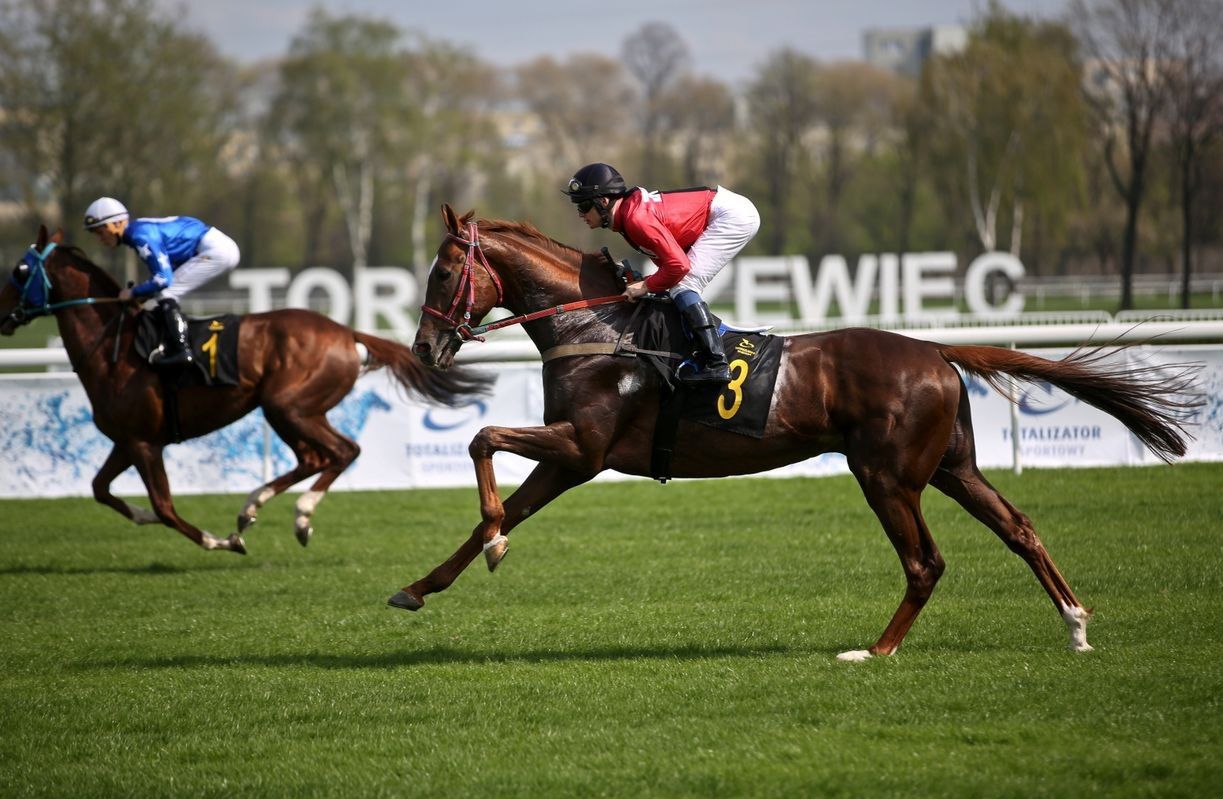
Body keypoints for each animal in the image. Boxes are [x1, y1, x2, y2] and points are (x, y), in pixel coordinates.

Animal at [4, 227, 491, 555]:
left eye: (20, 270)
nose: (3, 315)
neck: (115, 348)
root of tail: (344, 330)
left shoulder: (143, 442)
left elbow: (164, 506)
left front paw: (219, 541)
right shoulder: (126, 440)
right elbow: (99, 488)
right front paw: (143, 516)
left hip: (287, 405)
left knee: (341, 451)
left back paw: (294, 514)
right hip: (289, 409)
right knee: (317, 456)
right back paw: (256, 508)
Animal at [396, 205, 1198, 660]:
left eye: (441, 274)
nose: (425, 350)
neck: (596, 328)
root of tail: (935, 349)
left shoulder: (583, 447)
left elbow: (481, 440)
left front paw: (493, 543)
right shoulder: (569, 456)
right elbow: (499, 502)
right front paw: (419, 585)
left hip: (886, 474)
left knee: (925, 562)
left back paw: (875, 651)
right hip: (951, 466)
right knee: (1019, 526)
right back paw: (1075, 624)